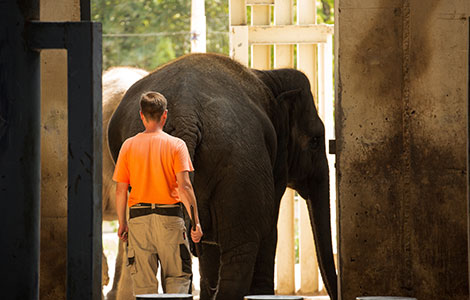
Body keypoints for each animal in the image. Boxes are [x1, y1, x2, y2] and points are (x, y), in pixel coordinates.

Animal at [107, 54, 338, 300]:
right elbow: (268, 228)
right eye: (315, 140)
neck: (268, 76)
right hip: (242, 166)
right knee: (241, 251)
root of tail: (185, 113)